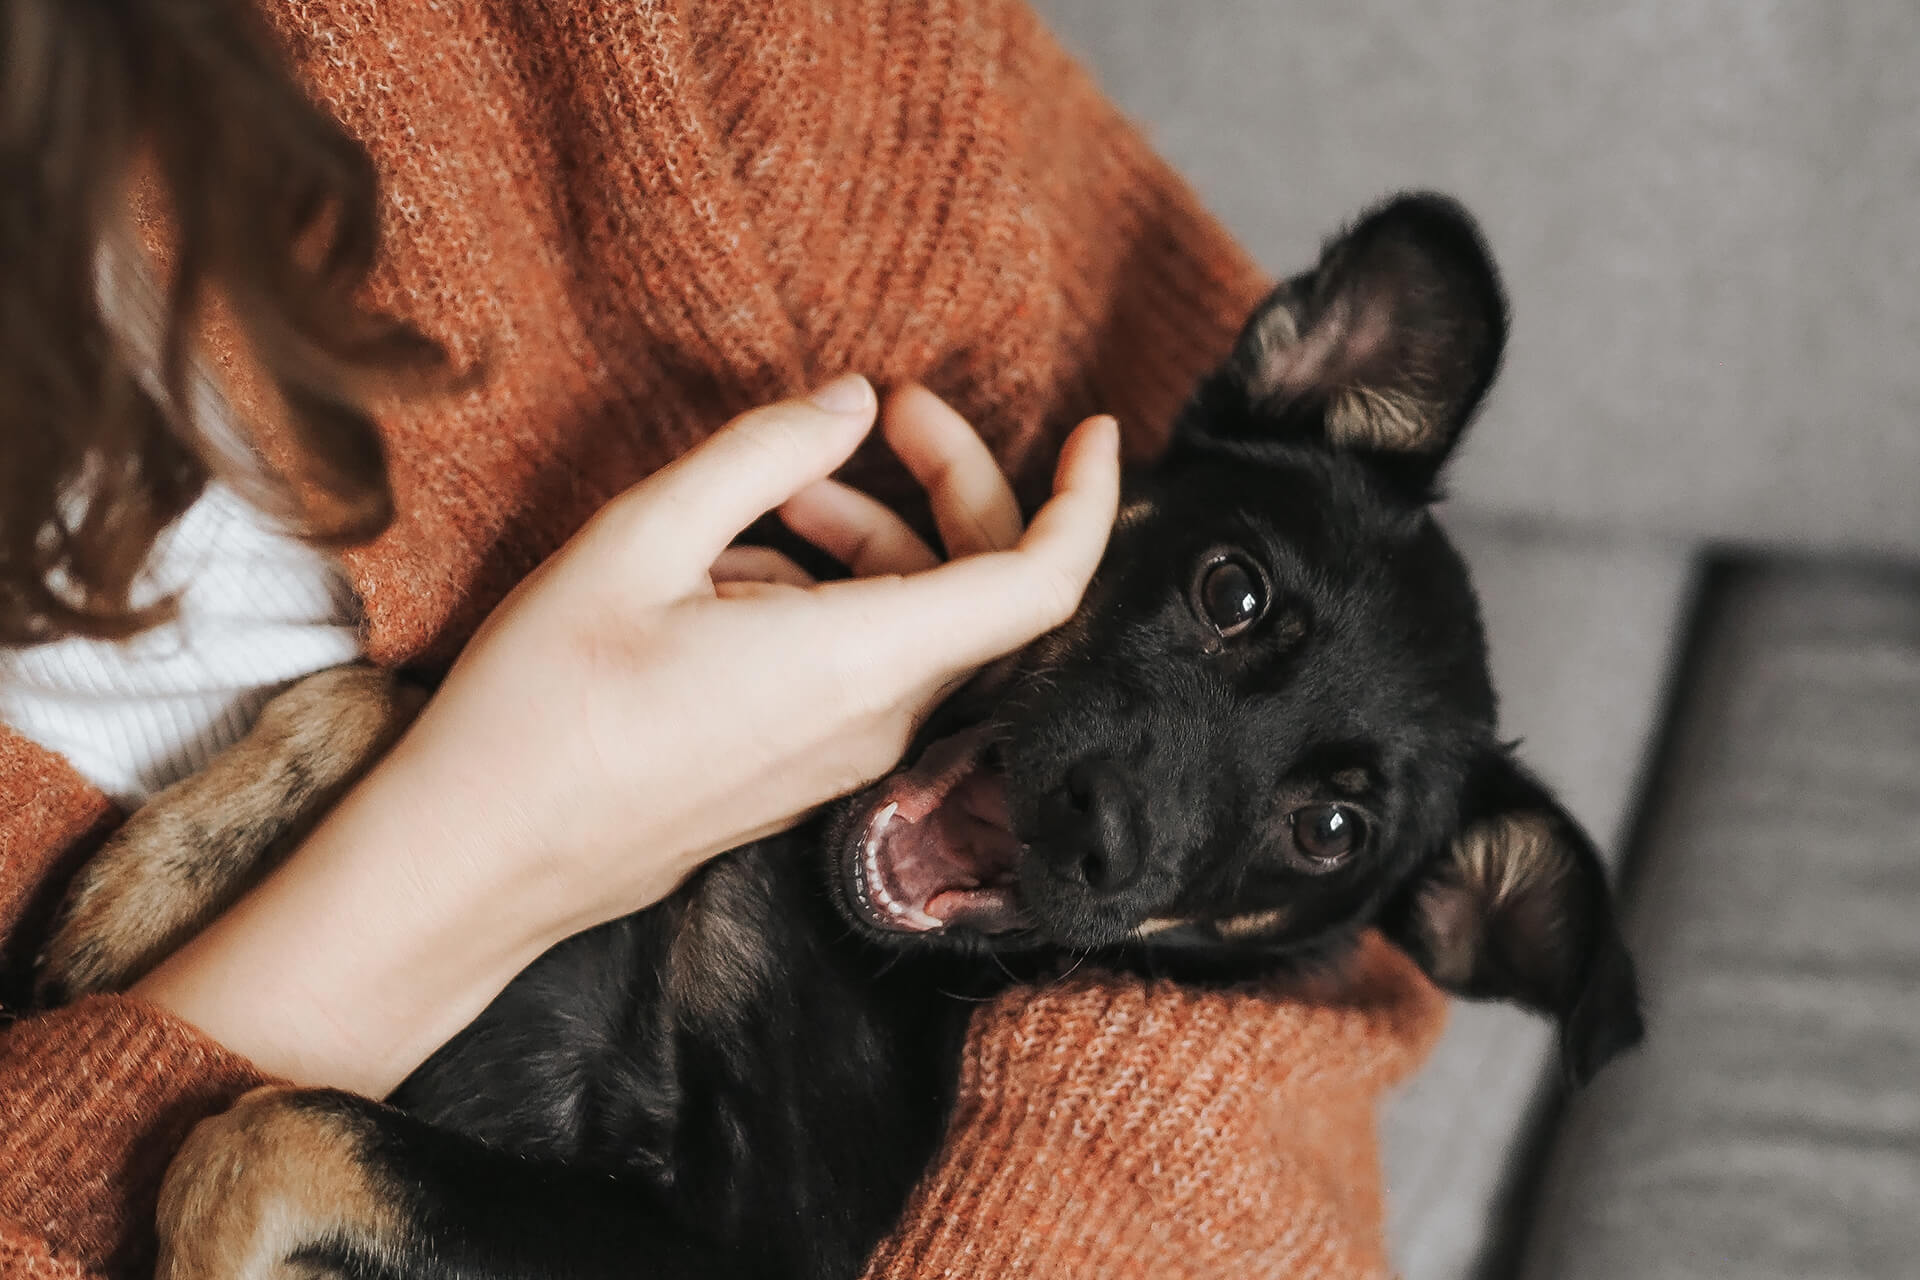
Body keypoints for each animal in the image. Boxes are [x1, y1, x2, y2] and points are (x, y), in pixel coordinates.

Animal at [48, 189, 1635, 1280]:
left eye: (1331, 832)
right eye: (1230, 590)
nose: (1099, 833)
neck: (817, 908)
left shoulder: (750, 1250)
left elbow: (265, 1133)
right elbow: (376, 693)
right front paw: (145, 885)